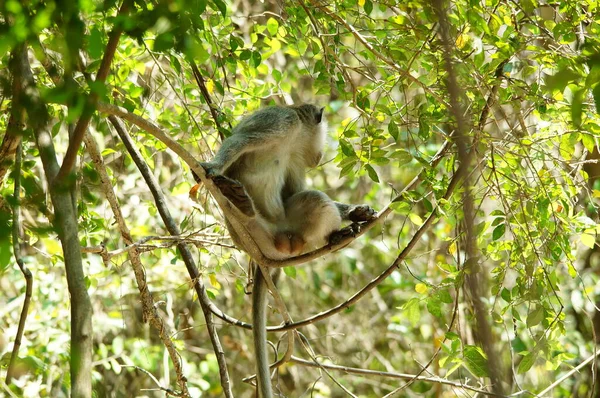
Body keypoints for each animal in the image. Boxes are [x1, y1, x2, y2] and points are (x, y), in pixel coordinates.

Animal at [199, 104, 372, 396]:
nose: (320, 156)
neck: (294, 137)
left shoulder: (295, 158)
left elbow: (293, 190)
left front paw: (355, 212)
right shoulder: (281, 121)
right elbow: (241, 140)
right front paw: (212, 165)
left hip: (292, 232)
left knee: (310, 203)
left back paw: (336, 236)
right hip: (248, 231)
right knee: (314, 198)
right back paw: (241, 203)